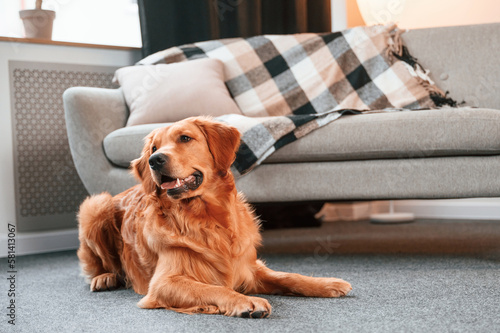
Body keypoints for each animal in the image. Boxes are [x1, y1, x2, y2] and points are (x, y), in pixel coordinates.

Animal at [78, 116, 352, 316]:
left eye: (185, 138)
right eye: (154, 148)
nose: (155, 160)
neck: (207, 218)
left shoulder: (248, 267)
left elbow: (288, 276)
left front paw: (327, 283)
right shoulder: (164, 283)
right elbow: (214, 289)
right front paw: (247, 301)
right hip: (95, 206)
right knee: (98, 265)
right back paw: (105, 278)